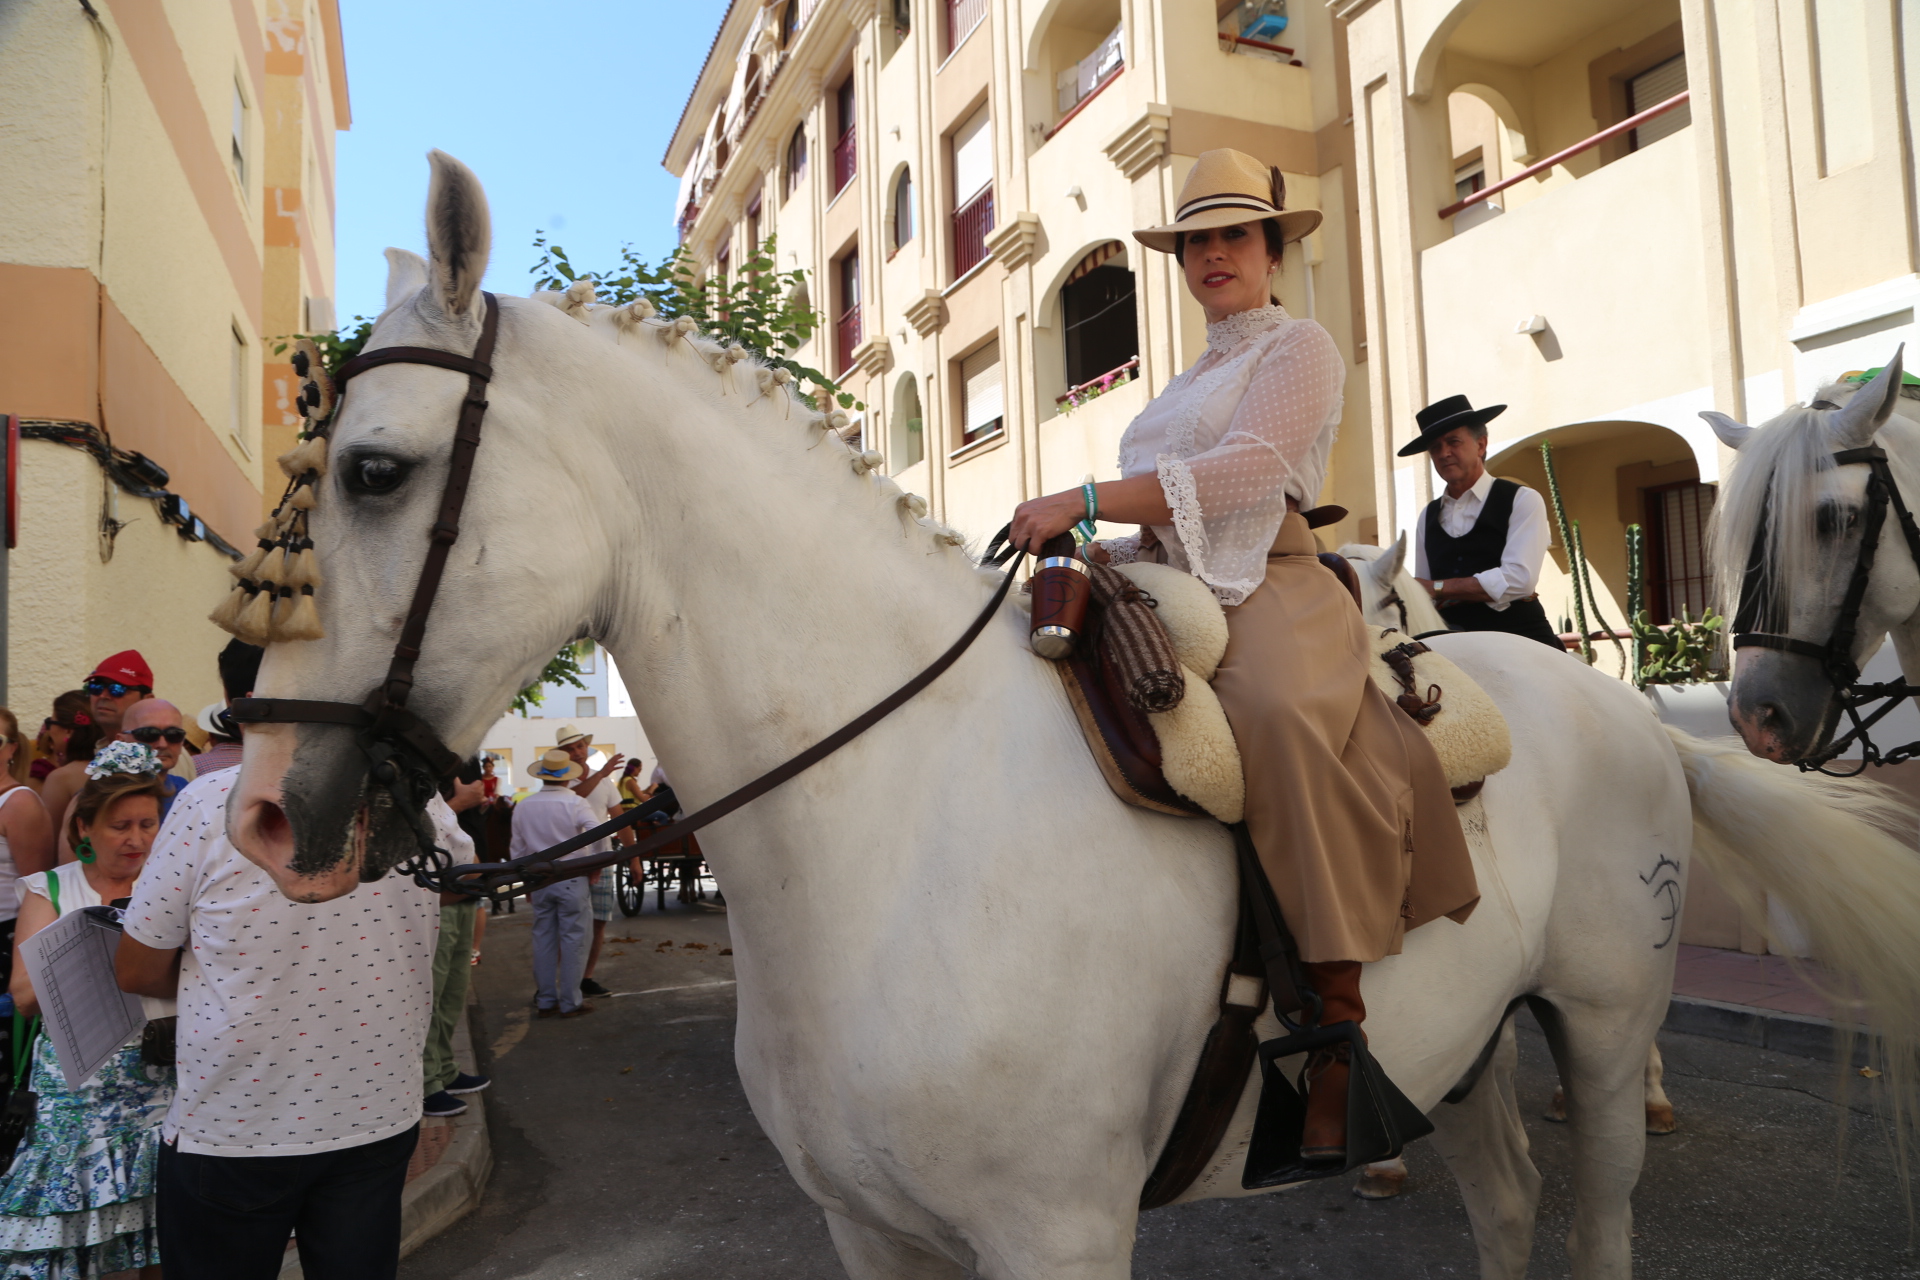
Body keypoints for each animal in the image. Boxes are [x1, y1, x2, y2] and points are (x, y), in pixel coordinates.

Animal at [232, 160, 1920, 1280]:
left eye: (373, 470)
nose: (263, 812)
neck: (896, 829)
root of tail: (1628, 720)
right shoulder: (871, 1233)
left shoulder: (1056, 1231)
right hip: (1468, 1048)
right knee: (1506, 1210)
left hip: (1602, 1025)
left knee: (1594, 1209)